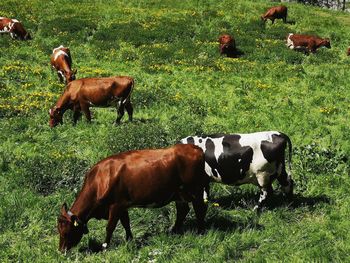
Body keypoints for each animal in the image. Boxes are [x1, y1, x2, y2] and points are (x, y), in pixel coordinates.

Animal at [57, 145, 208, 253]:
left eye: (65, 233)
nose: (61, 251)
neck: (99, 181)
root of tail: (195, 148)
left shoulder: (115, 205)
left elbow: (110, 227)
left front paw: (105, 246)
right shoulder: (122, 205)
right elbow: (126, 223)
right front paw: (129, 239)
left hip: (196, 189)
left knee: (199, 208)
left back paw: (200, 231)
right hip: (179, 193)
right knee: (183, 210)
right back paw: (174, 230)